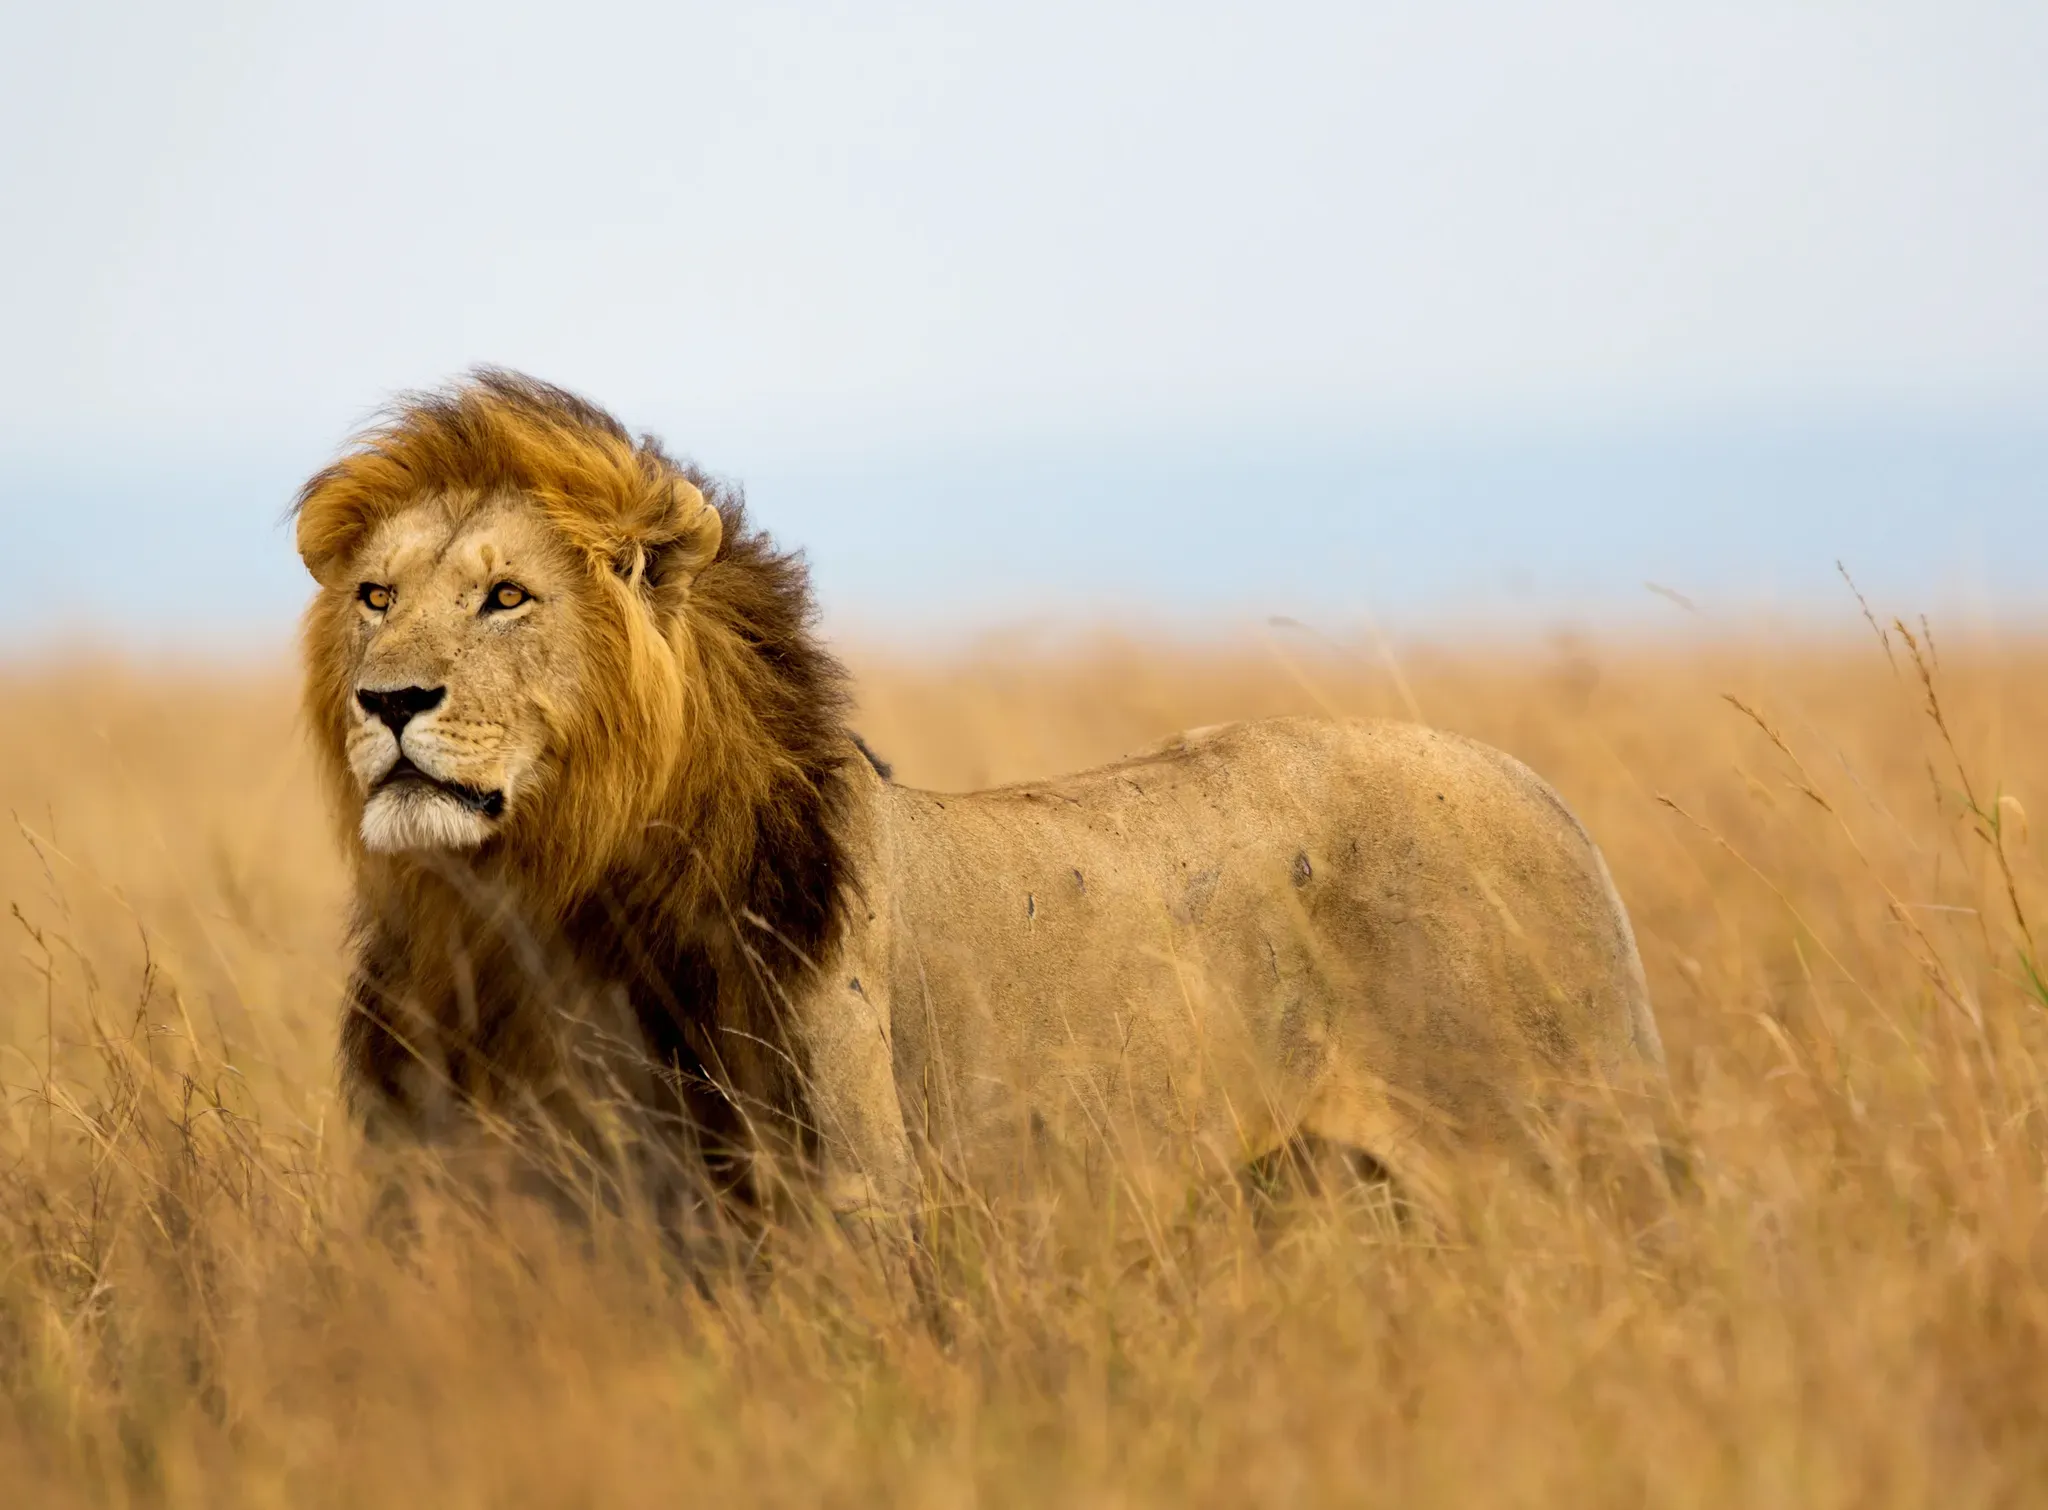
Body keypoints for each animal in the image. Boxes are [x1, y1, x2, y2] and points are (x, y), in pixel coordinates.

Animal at [292, 370, 1662, 1229]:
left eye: (505, 597)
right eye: (375, 597)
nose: (388, 700)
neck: (527, 907)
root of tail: (1544, 794)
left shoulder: (842, 1208)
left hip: (1558, 1168)